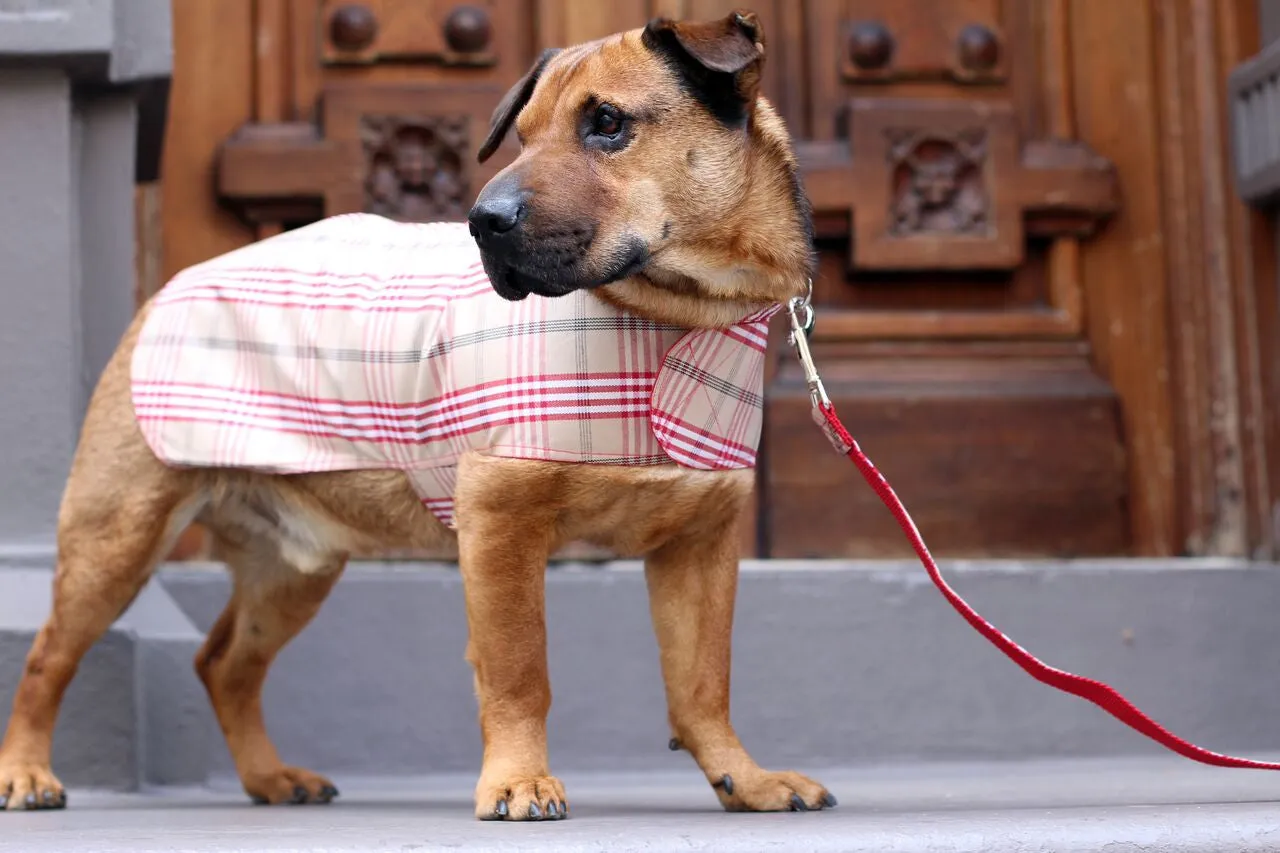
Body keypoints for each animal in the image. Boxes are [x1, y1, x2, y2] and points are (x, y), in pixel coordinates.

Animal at [0, 8, 829, 819]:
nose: (482, 218)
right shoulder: (500, 522)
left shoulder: (700, 544)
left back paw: (269, 776)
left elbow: (702, 683)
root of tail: (173, 286)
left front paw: (742, 777)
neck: (675, 317)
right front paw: (519, 781)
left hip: (290, 566)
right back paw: (26, 771)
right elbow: (520, 670)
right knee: (46, 658)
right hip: (116, 537)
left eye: (607, 123)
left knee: (225, 664)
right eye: (521, 136)